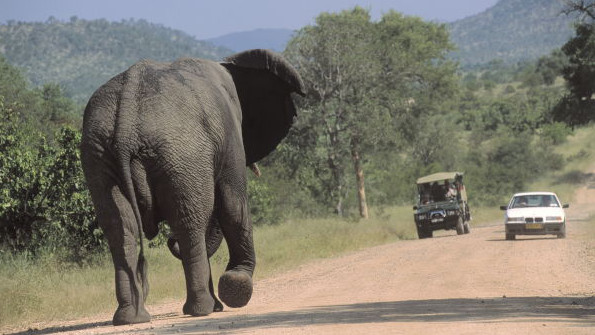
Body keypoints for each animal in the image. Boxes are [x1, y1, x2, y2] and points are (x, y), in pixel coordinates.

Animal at [81, 49, 304, 326]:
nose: (169, 241)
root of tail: (126, 126)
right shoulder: (230, 138)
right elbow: (232, 204)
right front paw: (236, 285)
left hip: (100, 156)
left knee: (121, 230)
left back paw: (131, 318)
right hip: (181, 153)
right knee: (190, 224)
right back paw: (202, 309)